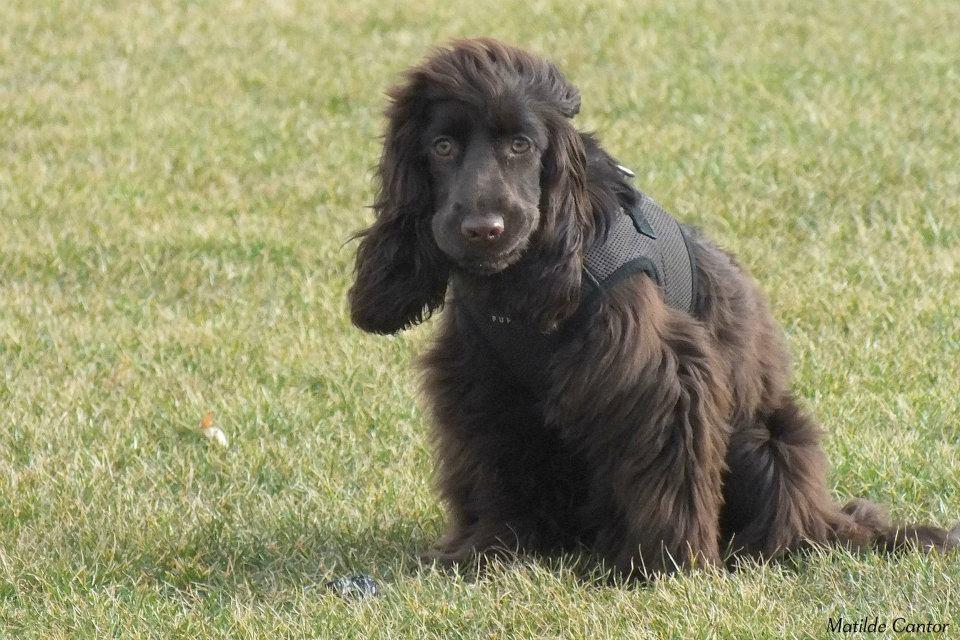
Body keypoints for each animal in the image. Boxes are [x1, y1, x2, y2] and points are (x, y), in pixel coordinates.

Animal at [348, 38, 956, 580]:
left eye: (521, 144)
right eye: (442, 147)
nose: (483, 228)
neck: (516, 284)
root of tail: (828, 518)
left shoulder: (659, 377)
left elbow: (669, 472)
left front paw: (665, 566)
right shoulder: (482, 385)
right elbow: (495, 471)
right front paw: (489, 549)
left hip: (767, 439)